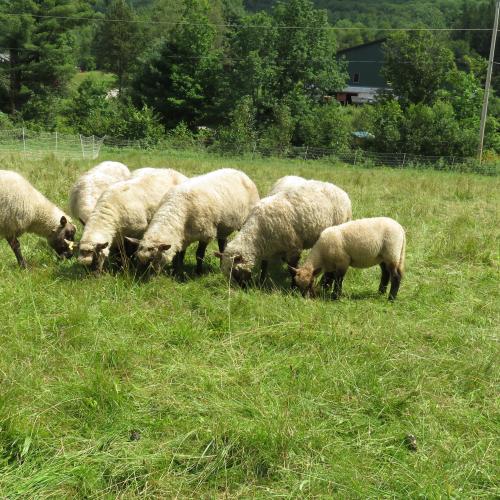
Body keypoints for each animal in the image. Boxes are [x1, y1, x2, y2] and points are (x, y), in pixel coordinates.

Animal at [216, 181, 352, 288]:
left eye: (235, 271)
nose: (239, 290)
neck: (256, 233)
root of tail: (342, 192)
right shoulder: (267, 248)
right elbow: (264, 266)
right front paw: (261, 283)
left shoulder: (293, 249)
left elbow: (292, 269)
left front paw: (293, 287)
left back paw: (325, 284)